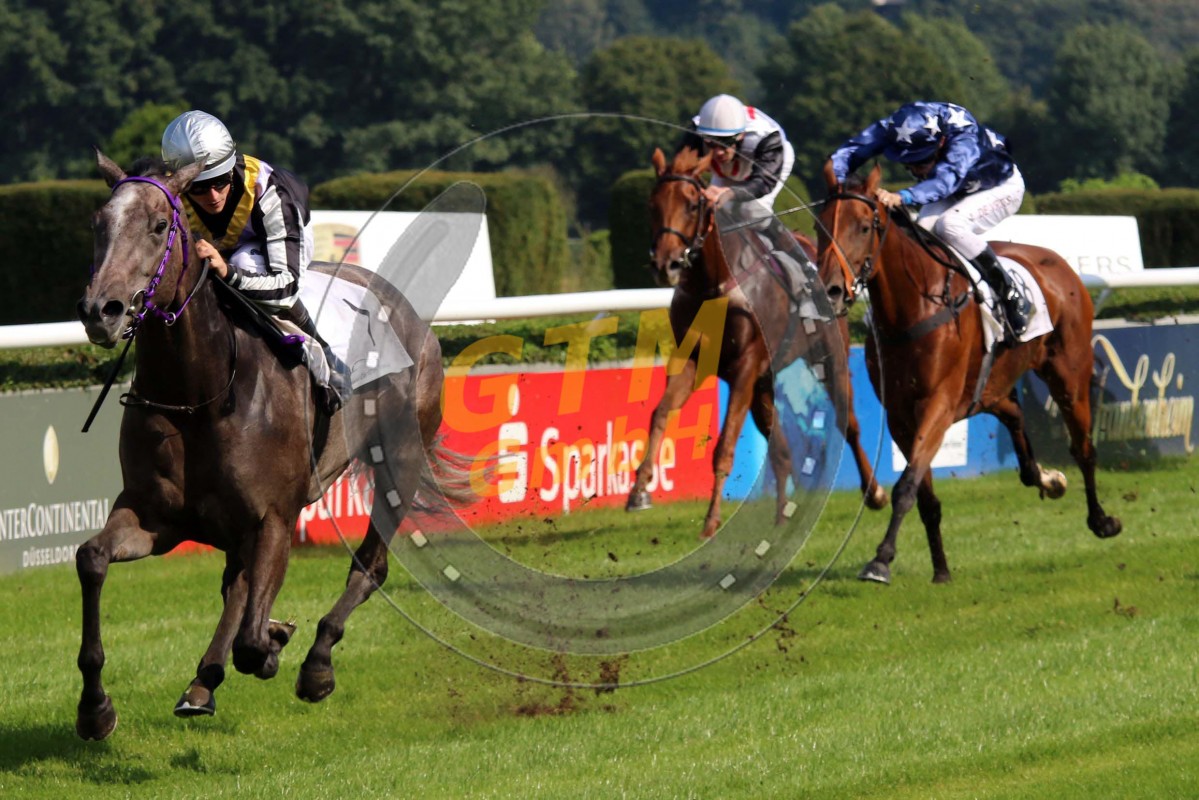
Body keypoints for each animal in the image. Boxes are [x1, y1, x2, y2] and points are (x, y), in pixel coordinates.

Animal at [73, 152, 466, 740]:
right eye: (99, 223)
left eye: (160, 225)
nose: (103, 310)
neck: (202, 393)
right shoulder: (155, 516)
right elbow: (92, 558)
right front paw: (95, 707)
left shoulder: (275, 519)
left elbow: (254, 641)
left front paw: (279, 643)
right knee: (235, 585)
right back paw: (202, 684)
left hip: (400, 459)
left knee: (369, 568)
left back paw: (316, 664)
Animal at [624, 146, 886, 540]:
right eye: (651, 204)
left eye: (691, 204)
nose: (665, 264)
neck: (713, 285)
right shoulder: (697, 362)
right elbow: (659, 414)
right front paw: (639, 490)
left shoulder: (746, 366)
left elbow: (725, 446)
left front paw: (711, 521)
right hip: (765, 381)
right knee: (780, 448)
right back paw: (782, 514)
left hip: (829, 358)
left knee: (848, 422)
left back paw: (874, 493)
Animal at [816, 161, 1122, 584]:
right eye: (819, 227)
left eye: (864, 227)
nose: (829, 291)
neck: (914, 309)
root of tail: (1060, 265)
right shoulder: (900, 415)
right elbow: (924, 495)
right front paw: (941, 570)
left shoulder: (938, 405)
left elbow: (906, 486)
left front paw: (880, 561)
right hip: (991, 386)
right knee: (1015, 415)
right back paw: (1048, 478)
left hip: (1068, 376)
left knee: (1084, 448)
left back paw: (1101, 520)